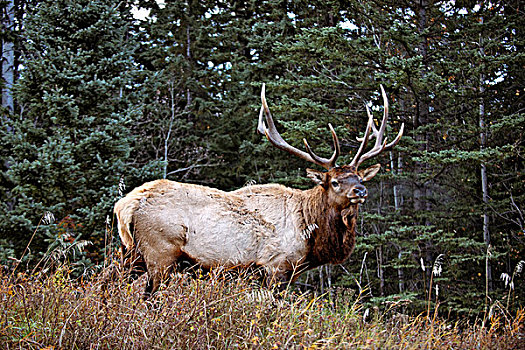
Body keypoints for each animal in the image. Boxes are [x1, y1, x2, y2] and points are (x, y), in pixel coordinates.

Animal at [113, 83, 402, 296]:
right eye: (335, 181)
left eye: (360, 178)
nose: (360, 192)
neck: (310, 234)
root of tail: (125, 205)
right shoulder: (275, 266)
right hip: (159, 253)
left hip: (131, 253)